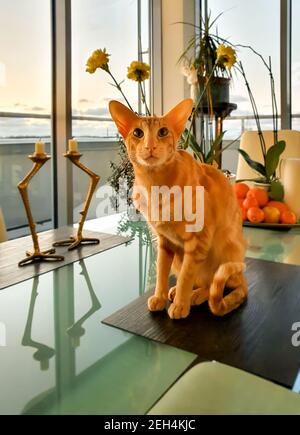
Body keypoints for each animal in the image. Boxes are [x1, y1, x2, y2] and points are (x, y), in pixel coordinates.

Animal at [109, 99, 247, 320]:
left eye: (163, 131)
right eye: (138, 133)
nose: (150, 145)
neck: (154, 185)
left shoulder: (198, 240)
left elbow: (186, 276)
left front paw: (181, 304)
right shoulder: (164, 242)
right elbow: (161, 274)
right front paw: (160, 296)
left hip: (224, 253)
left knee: (214, 283)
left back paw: (196, 295)